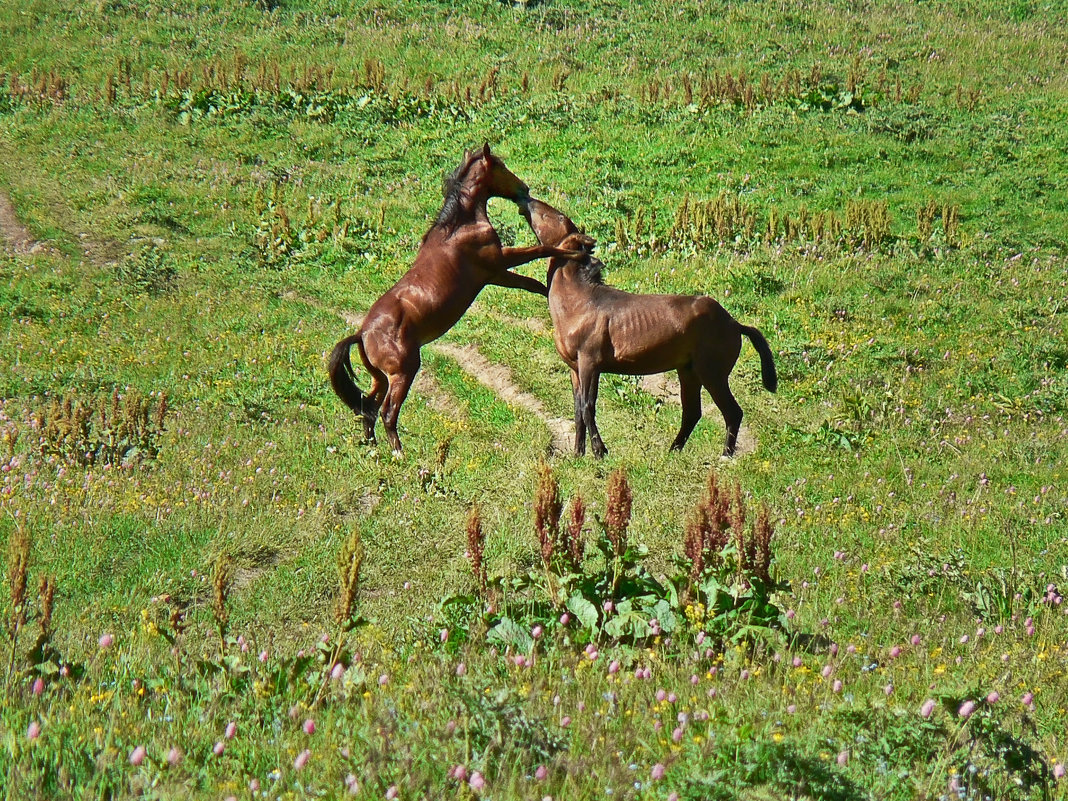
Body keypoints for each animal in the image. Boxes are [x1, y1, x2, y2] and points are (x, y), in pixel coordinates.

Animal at [328, 146, 580, 454]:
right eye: (500, 166)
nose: (524, 189)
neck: (460, 226)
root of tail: (362, 334)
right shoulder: (499, 264)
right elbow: (541, 250)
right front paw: (579, 249)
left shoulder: (496, 275)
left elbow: (535, 285)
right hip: (402, 374)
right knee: (387, 412)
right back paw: (398, 453)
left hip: (381, 377)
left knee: (367, 405)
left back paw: (372, 446)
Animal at [523, 199, 777, 457]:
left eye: (553, 216)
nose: (526, 200)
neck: (579, 303)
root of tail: (735, 324)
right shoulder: (575, 368)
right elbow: (577, 410)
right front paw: (577, 454)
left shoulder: (590, 363)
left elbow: (587, 406)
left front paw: (599, 451)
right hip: (689, 371)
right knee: (692, 412)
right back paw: (673, 451)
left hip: (712, 372)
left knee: (732, 411)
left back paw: (725, 455)